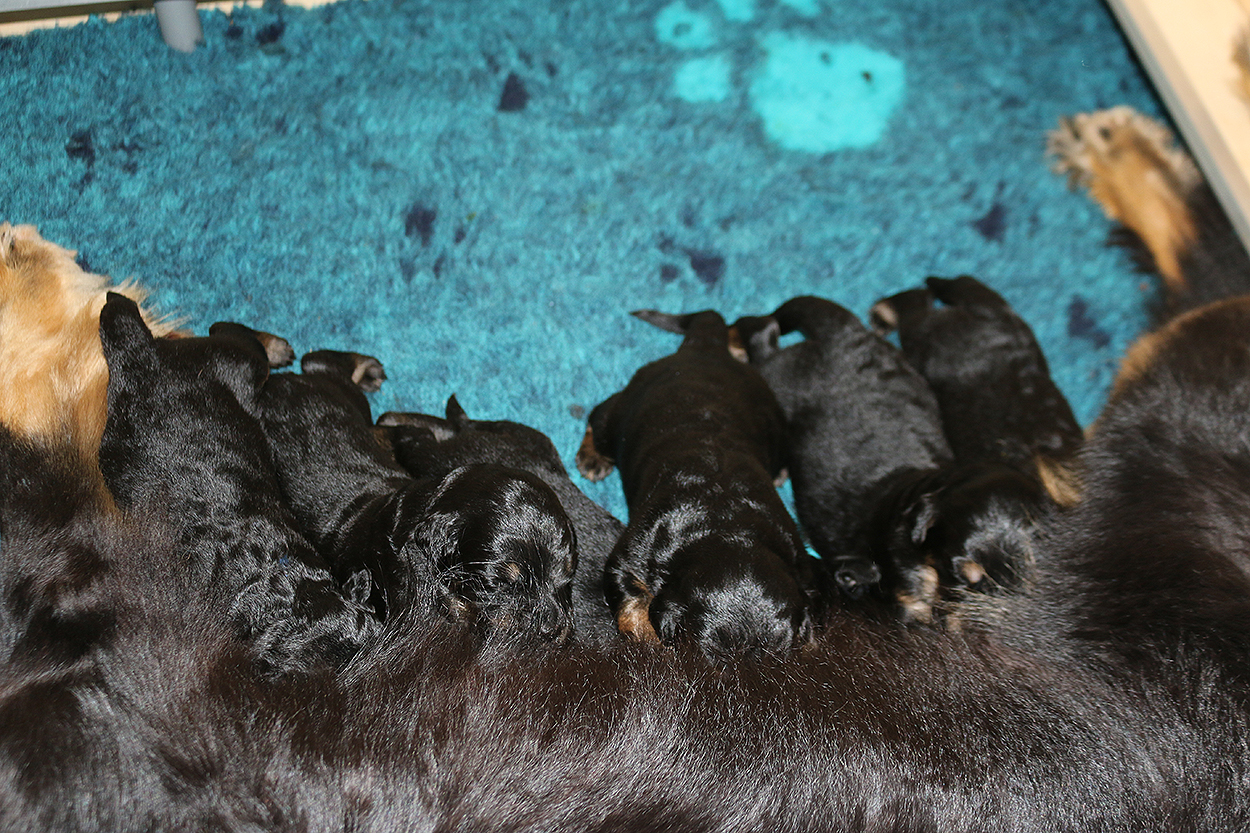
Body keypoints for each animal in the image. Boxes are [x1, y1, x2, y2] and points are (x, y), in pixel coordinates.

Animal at [252, 352, 578, 640]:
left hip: (344, 393)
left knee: (321, 362)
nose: (551, 631)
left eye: (566, 579)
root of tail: (284, 382)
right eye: (498, 583)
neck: (430, 502)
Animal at [575, 309, 816, 657]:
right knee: (598, 417)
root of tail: (704, 347)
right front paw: (648, 636)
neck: (726, 525)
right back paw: (592, 457)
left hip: (777, 427)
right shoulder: (629, 556)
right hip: (619, 412)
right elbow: (631, 598)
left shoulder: (800, 565)